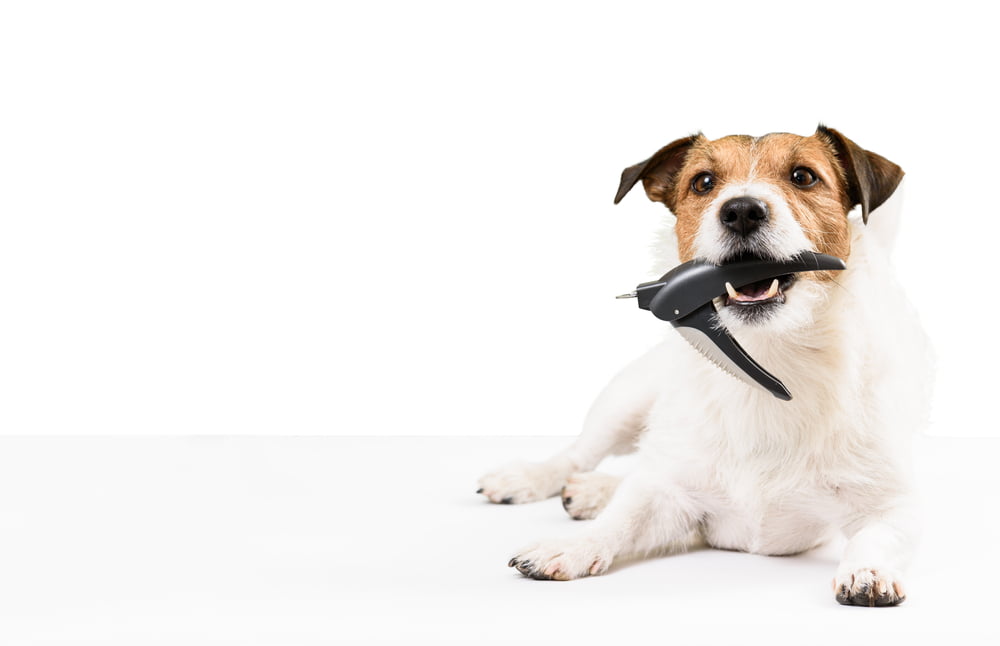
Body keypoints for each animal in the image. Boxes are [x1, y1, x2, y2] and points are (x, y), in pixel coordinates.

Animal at [476, 125, 928, 608]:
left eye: (804, 176)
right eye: (703, 182)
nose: (742, 210)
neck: (770, 358)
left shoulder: (893, 503)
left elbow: (879, 534)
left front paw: (869, 570)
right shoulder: (668, 495)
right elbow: (623, 518)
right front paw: (573, 546)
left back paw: (593, 490)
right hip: (626, 399)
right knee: (583, 454)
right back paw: (530, 478)